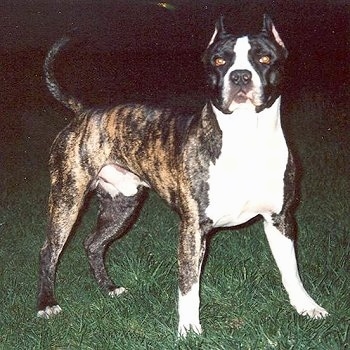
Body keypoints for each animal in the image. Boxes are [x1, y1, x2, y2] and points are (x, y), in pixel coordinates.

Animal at [37, 14, 326, 336]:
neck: (246, 138)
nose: (240, 76)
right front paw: (188, 329)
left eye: (264, 58)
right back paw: (47, 304)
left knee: (93, 244)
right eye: (219, 60)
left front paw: (306, 306)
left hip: (121, 205)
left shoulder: (280, 220)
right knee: (49, 250)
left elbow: (291, 270)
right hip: (67, 199)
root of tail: (84, 112)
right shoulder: (193, 228)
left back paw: (110, 288)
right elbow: (189, 284)